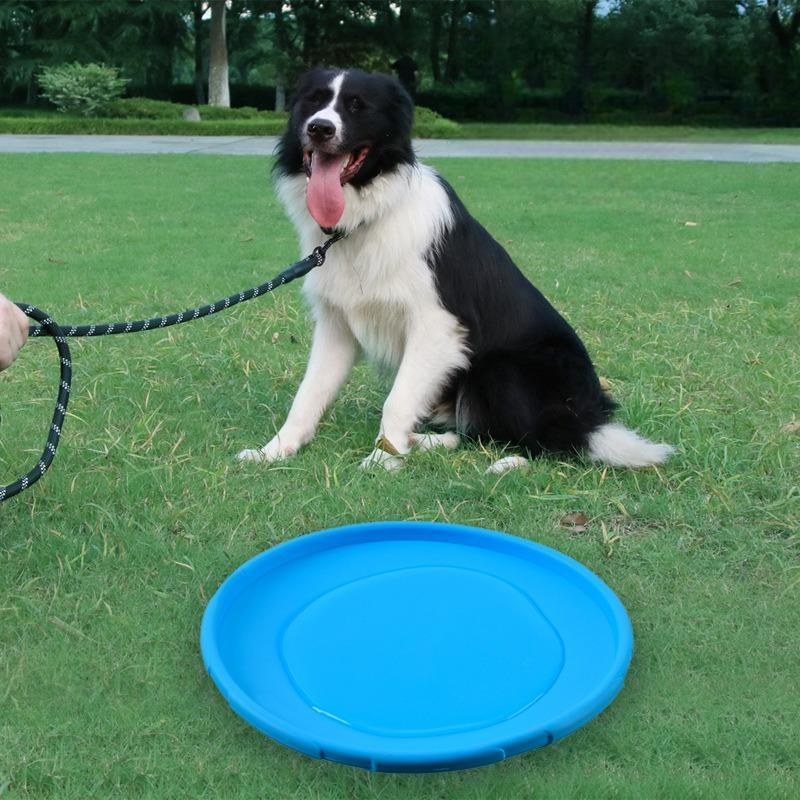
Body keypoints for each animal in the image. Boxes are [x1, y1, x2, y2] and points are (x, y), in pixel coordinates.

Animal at [236, 70, 668, 476]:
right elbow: (308, 394)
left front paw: (383, 459)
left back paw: (501, 463)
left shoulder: (438, 326)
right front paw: (275, 451)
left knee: (547, 439)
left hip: (503, 370)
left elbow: (397, 400)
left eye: (357, 106)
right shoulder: (337, 325)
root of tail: (590, 414)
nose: (320, 128)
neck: (366, 218)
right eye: (314, 101)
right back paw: (425, 442)